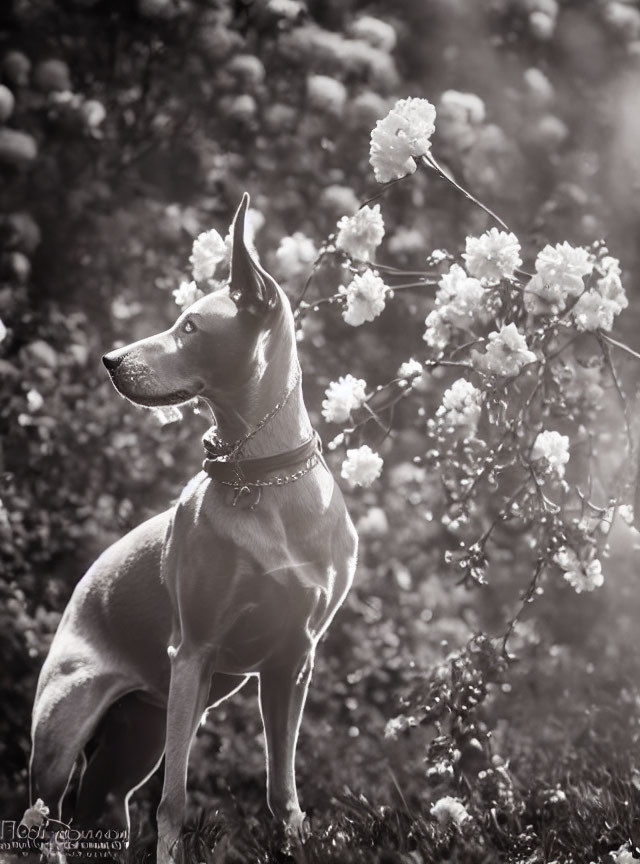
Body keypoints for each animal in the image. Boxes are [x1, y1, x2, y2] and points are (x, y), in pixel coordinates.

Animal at [28, 196, 360, 864]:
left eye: (189, 328)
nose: (110, 360)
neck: (263, 476)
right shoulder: (195, 651)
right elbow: (174, 803)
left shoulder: (294, 661)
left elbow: (283, 792)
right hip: (67, 731)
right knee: (43, 820)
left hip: (133, 741)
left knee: (100, 812)